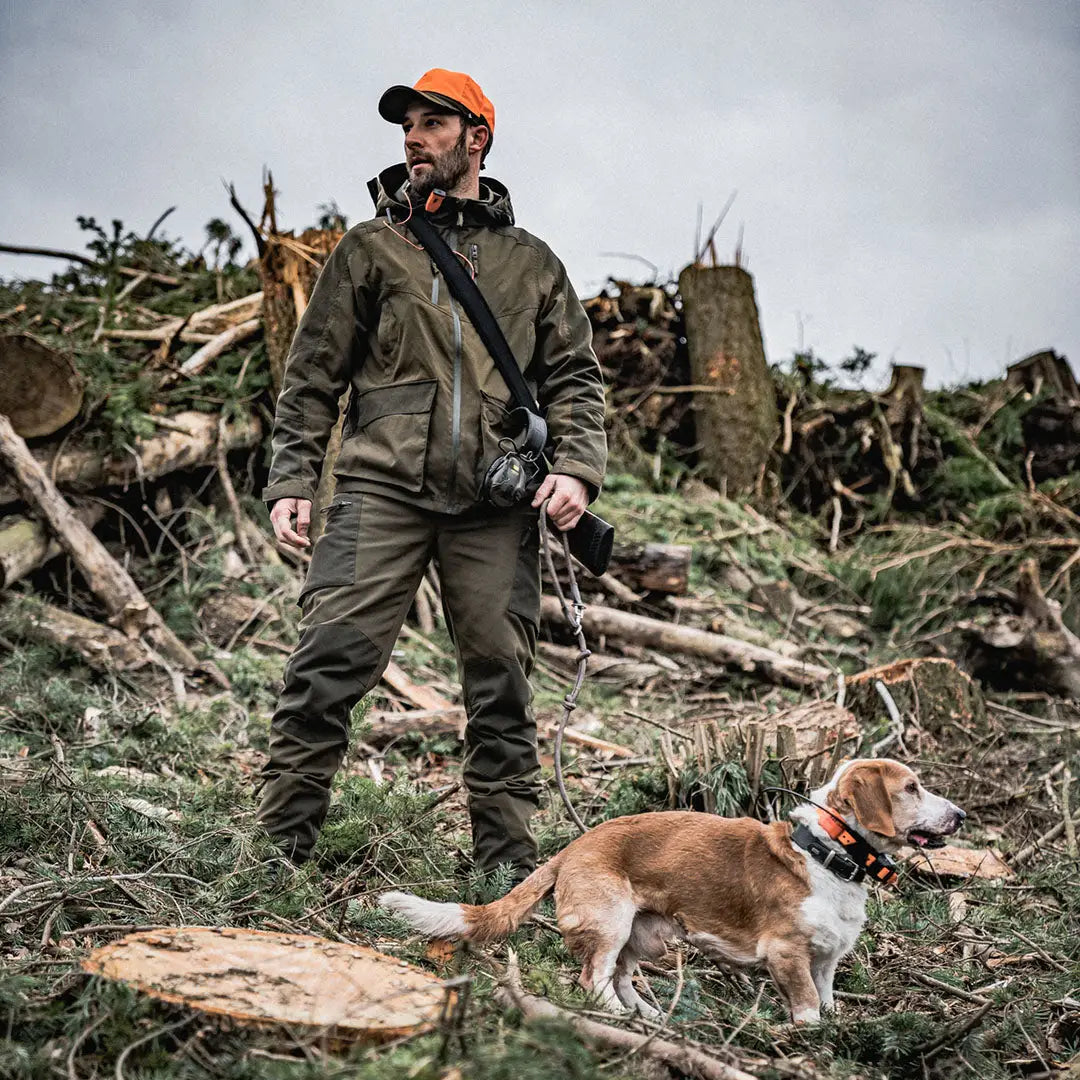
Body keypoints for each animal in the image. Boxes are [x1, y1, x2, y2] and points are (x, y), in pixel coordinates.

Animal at [380, 760, 963, 1019]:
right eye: (912, 788)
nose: (960, 814)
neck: (828, 853)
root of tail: (572, 847)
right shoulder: (788, 955)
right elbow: (805, 1007)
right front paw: (811, 1039)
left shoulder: (825, 961)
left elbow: (827, 999)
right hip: (611, 923)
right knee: (594, 978)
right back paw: (619, 1018)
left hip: (646, 936)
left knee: (621, 976)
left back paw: (649, 1014)